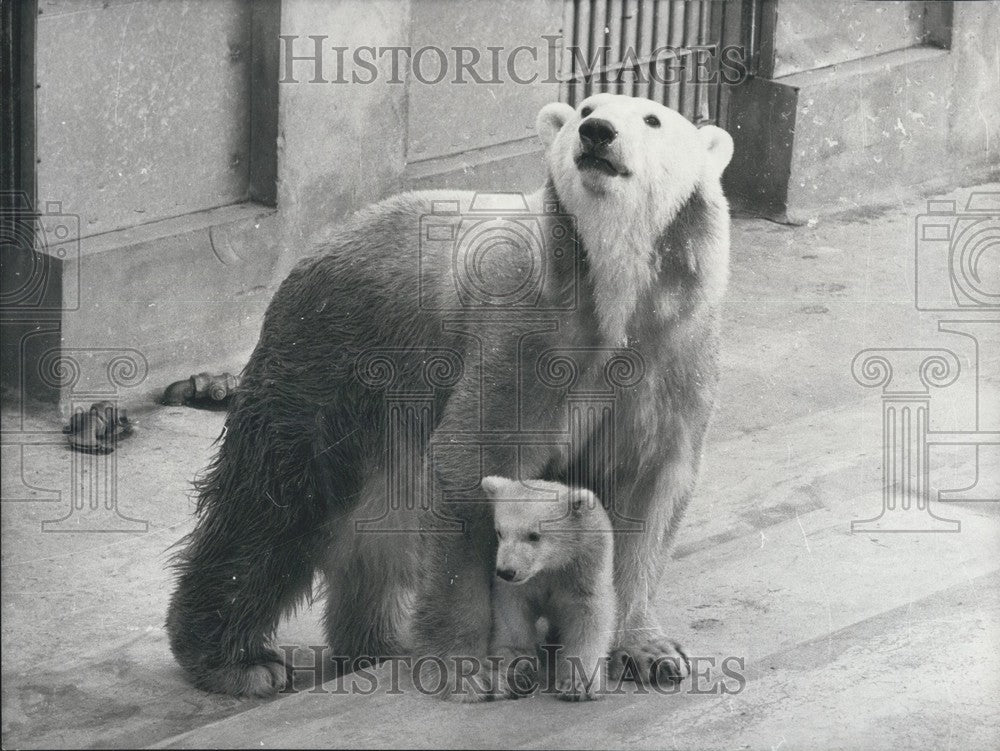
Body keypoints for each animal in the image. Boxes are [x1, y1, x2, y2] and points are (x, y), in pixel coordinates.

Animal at [484, 476, 615, 702]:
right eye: (500, 532)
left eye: (534, 535)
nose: (506, 571)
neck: (550, 566)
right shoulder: (525, 584)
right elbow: (511, 608)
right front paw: (517, 663)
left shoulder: (583, 570)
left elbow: (588, 617)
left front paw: (576, 684)